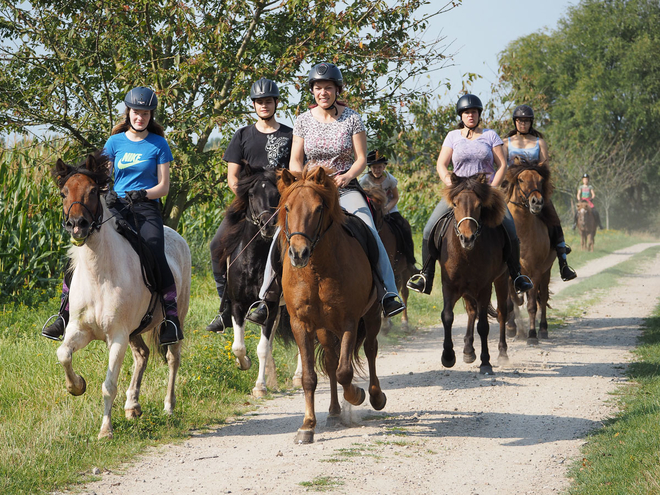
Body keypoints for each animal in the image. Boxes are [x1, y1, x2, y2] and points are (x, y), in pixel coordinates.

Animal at [52, 153, 191, 440]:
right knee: (142, 355)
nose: (77, 225)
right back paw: (132, 405)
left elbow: (108, 384)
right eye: (63, 193)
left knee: (173, 358)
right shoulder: (79, 330)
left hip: (176, 318)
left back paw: (168, 407)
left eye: (93, 191)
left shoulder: (117, 336)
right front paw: (77, 385)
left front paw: (106, 431)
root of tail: (176, 234)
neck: (99, 274)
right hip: (135, 330)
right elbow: (63, 354)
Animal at [278, 166, 386, 446]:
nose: (298, 254)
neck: (317, 271)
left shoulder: (349, 321)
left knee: (370, 349)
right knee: (329, 361)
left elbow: (345, 372)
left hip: (372, 315)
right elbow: (310, 376)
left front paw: (357, 395)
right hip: (324, 329)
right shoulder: (301, 324)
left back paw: (375, 396)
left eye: (318, 209)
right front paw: (307, 426)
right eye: (287, 208)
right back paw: (335, 412)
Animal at [360, 188, 412, 332]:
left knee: (404, 292)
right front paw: (386, 322)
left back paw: (404, 322)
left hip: (404, 270)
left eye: (378, 207)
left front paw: (385, 323)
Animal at [434, 173, 510, 372]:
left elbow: (483, 325)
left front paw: (486, 362)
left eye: (479, 205)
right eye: (454, 204)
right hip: (467, 289)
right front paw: (448, 356)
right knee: (471, 311)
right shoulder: (449, 285)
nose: (467, 238)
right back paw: (468, 350)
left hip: (502, 279)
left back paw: (502, 353)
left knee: (502, 313)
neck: (467, 253)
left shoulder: (484, 287)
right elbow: (447, 316)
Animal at [506, 159, 556, 344]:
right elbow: (513, 300)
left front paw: (532, 335)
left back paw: (543, 329)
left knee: (543, 298)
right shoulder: (509, 274)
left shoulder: (535, 273)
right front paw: (515, 329)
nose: (537, 202)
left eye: (541, 180)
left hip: (546, 271)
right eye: (520, 179)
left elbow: (532, 305)